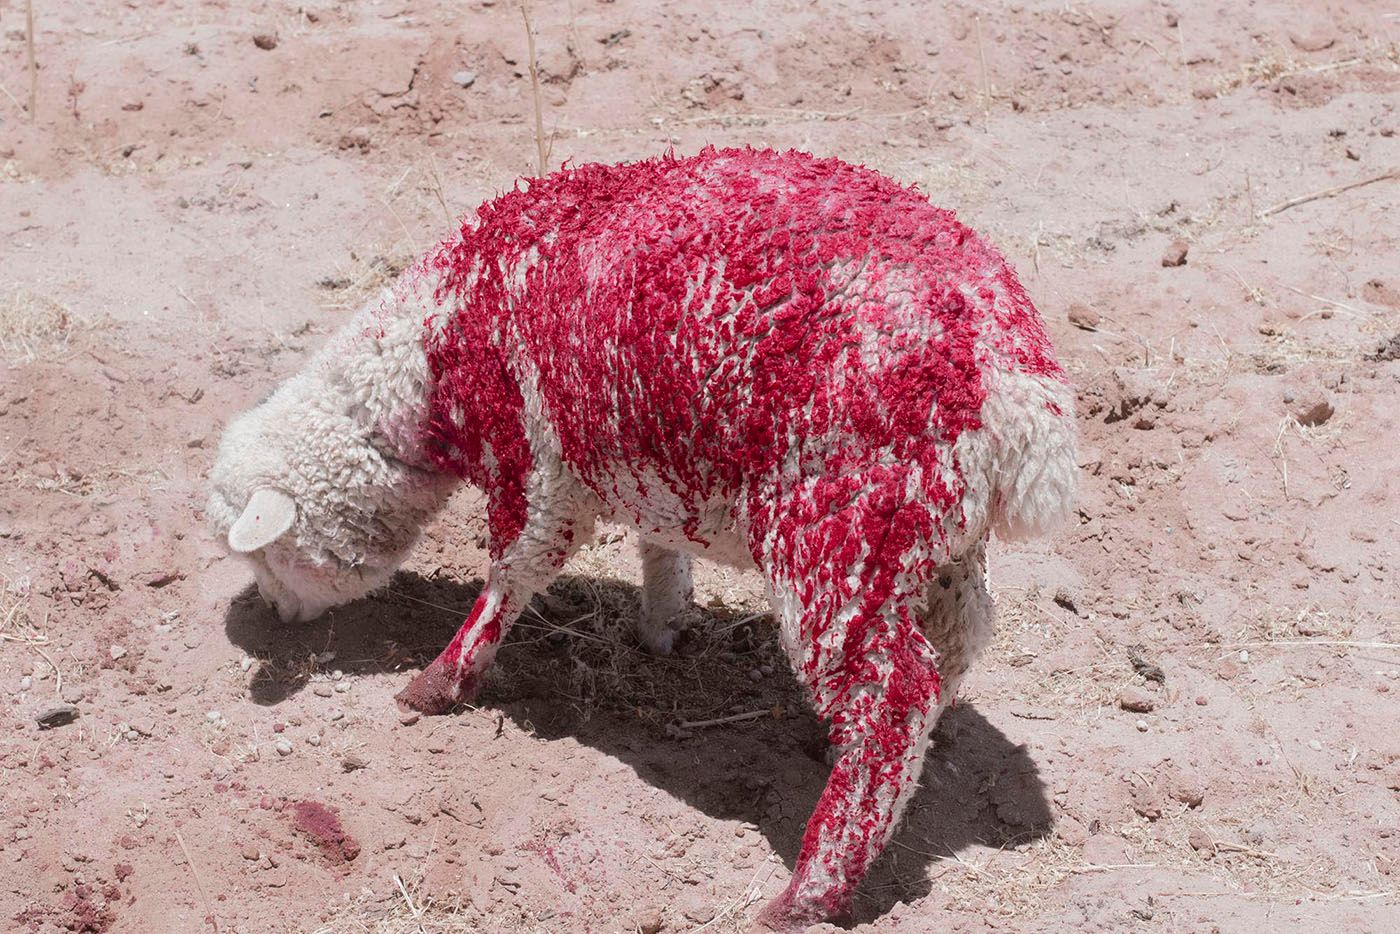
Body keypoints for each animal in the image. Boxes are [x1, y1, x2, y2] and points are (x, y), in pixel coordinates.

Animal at [207, 147, 1077, 930]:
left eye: (267, 556)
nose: (277, 620)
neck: (430, 361)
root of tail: (1017, 390)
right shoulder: (646, 456)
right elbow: (663, 547)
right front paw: (661, 626)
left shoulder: (534, 462)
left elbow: (513, 575)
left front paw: (440, 681)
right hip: (931, 536)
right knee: (956, 642)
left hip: (839, 528)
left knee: (889, 694)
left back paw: (809, 893)